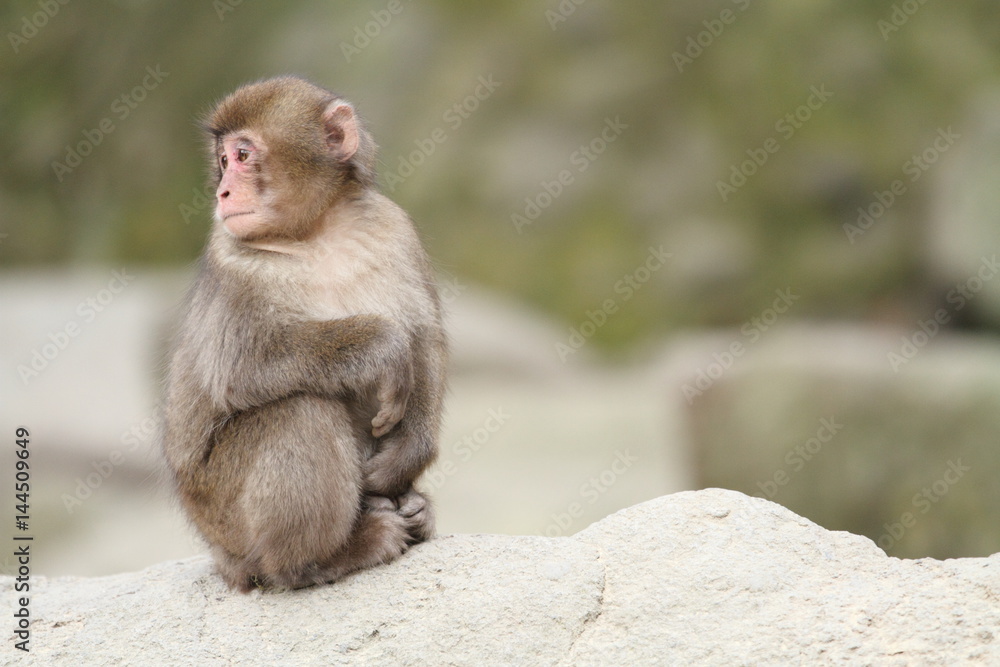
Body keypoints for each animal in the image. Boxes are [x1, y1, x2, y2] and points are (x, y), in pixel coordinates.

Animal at [160, 75, 446, 592]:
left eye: (242, 155)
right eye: (223, 161)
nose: (223, 192)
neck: (317, 232)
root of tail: (222, 556)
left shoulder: (396, 230)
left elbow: (425, 340)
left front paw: (407, 455)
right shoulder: (233, 263)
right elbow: (242, 367)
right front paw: (383, 346)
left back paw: (412, 508)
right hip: (223, 513)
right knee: (301, 410)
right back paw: (323, 559)